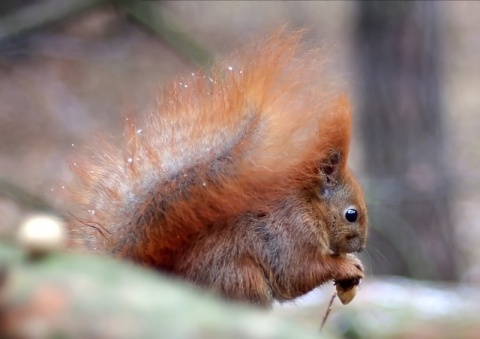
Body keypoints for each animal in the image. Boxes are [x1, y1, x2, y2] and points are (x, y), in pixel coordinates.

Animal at [67, 32, 368, 308]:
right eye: (351, 214)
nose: (362, 247)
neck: (309, 208)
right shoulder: (290, 237)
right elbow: (298, 273)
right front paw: (346, 266)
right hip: (241, 279)